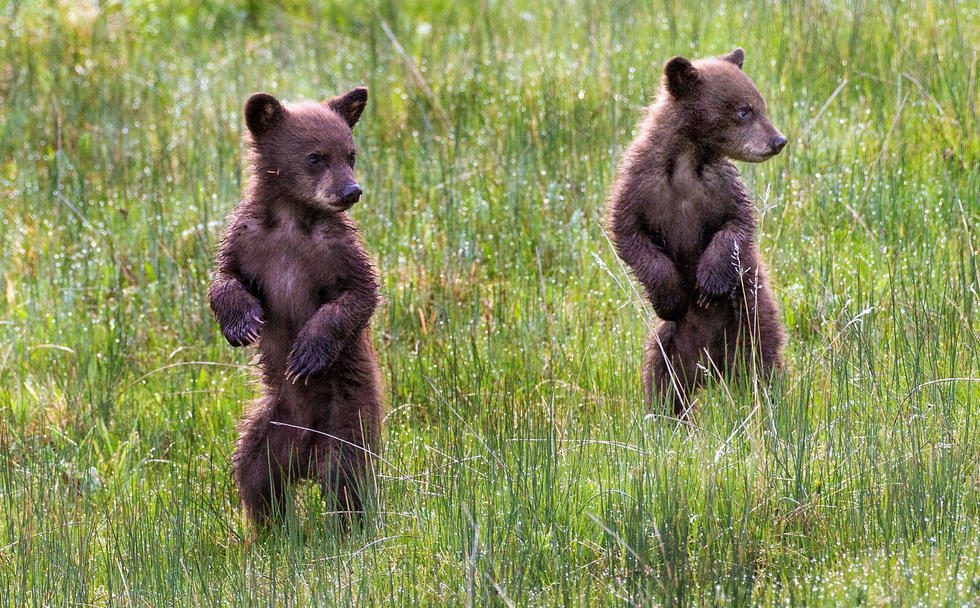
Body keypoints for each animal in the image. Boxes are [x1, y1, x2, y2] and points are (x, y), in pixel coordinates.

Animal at [208, 87, 382, 526]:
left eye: (350, 154)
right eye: (315, 157)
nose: (351, 191)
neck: (291, 217)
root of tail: (304, 451)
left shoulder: (334, 250)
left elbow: (359, 295)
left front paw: (307, 352)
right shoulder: (248, 240)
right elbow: (223, 278)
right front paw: (242, 323)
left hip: (348, 418)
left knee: (346, 480)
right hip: (270, 425)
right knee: (254, 476)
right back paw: (269, 529)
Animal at [606, 48, 787, 417]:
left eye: (759, 104)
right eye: (743, 110)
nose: (778, 140)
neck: (687, 160)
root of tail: (713, 369)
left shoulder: (719, 187)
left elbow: (736, 226)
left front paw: (708, 283)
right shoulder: (641, 186)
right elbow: (629, 234)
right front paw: (672, 295)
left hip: (751, 327)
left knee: (765, 368)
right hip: (669, 347)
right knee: (662, 384)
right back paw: (665, 418)